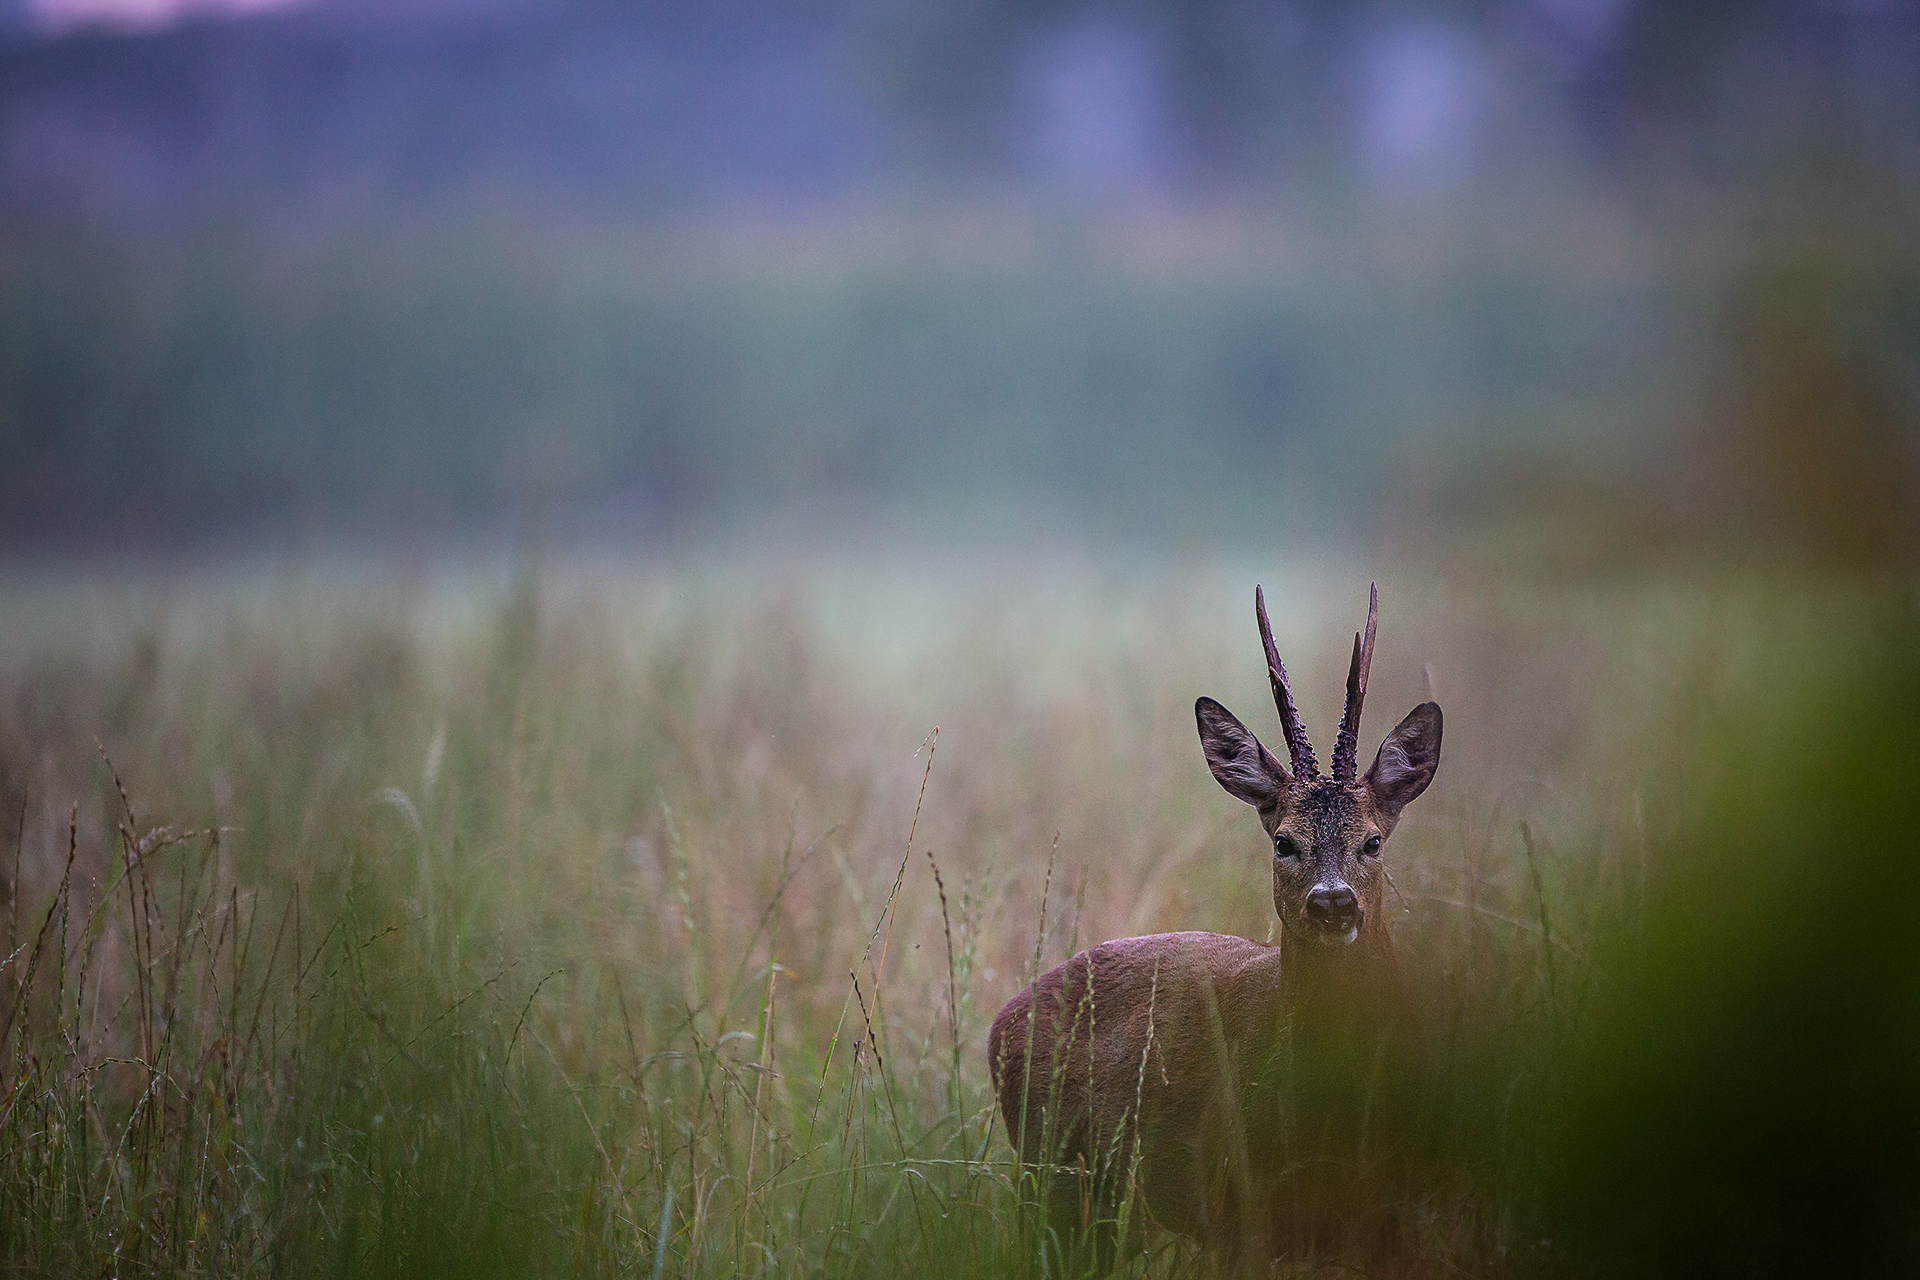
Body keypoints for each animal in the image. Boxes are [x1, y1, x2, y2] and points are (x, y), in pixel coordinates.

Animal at [990, 587, 1443, 1274]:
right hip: (1059, 1175)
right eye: (1284, 841)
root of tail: (1000, 1024)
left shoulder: (1400, 1210)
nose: (1332, 904)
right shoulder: (1234, 1198)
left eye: (1373, 841)